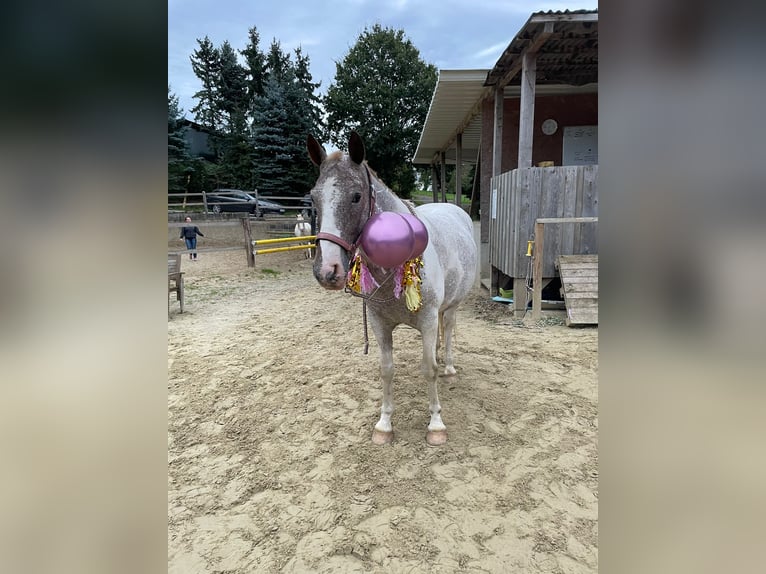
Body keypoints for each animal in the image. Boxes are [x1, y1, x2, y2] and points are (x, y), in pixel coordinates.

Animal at [308, 133, 476, 448]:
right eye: (313, 197)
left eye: (356, 196)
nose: (328, 271)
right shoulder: (379, 324)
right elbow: (386, 370)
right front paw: (384, 425)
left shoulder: (426, 320)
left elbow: (428, 370)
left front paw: (436, 424)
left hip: (453, 305)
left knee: (448, 329)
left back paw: (448, 368)